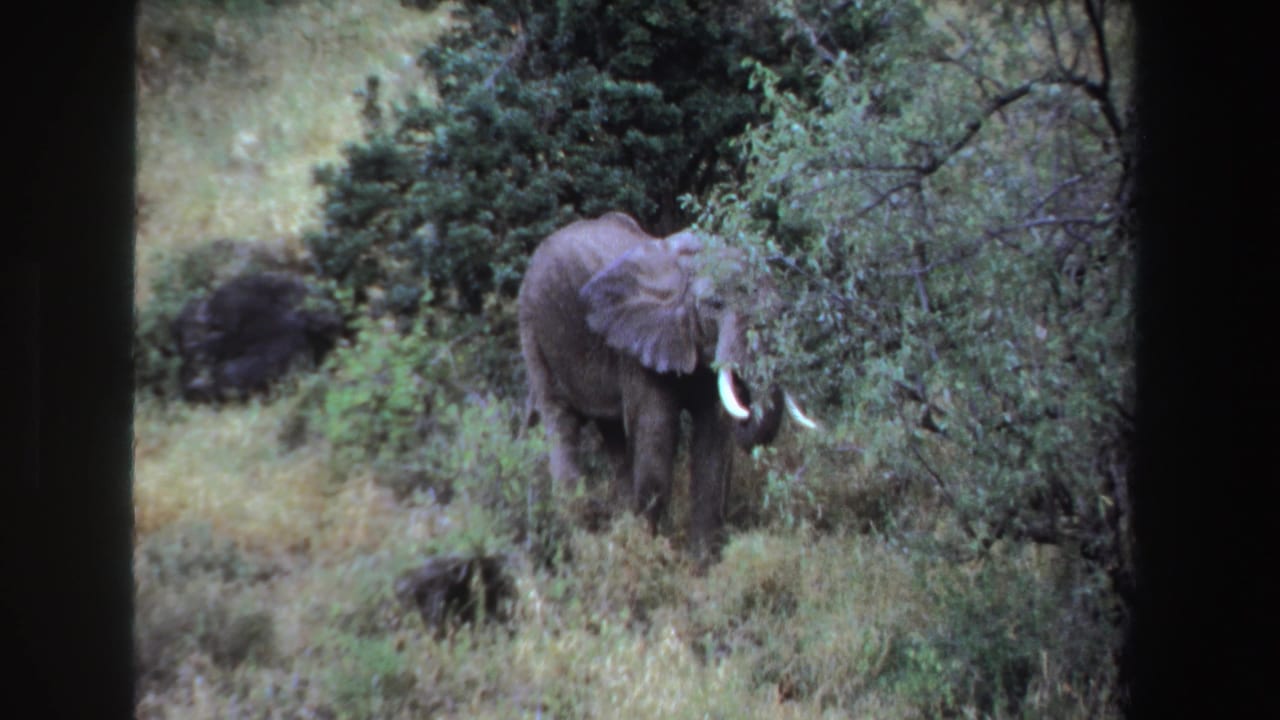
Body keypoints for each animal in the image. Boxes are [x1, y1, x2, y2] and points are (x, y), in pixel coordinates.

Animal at [518, 211, 817, 558]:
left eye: (781, 309)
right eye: (715, 304)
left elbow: (713, 448)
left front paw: (701, 563)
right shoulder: (637, 347)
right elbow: (656, 439)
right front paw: (652, 555)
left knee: (613, 435)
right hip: (535, 331)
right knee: (561, 423)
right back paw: (580, 541)